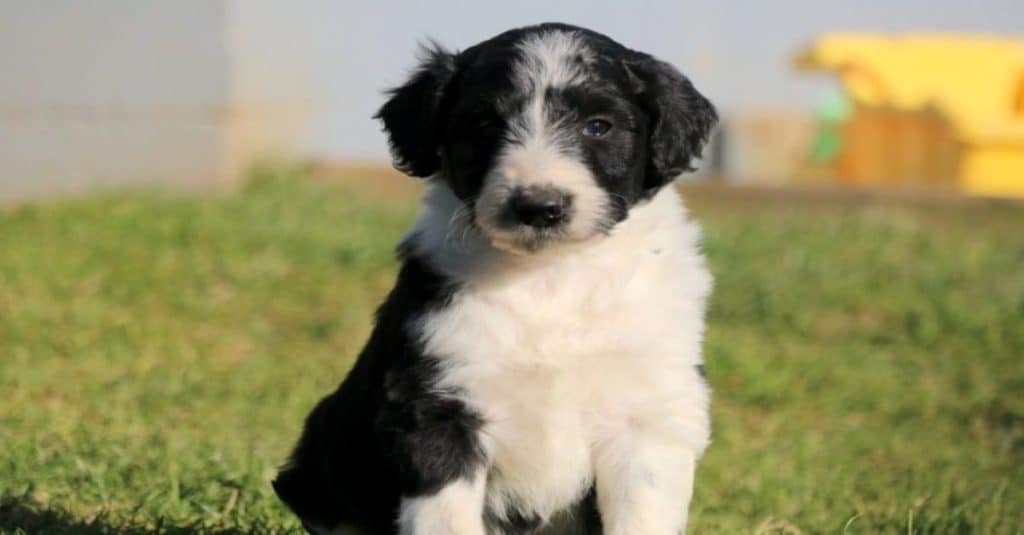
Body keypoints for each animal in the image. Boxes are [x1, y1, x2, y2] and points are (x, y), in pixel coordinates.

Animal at [276, 21, 716, 532]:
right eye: (484, 126)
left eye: (598, 126)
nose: (539, 206)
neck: (551, 277)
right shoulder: (438, 408)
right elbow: (446, 518)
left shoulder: (649, 414)